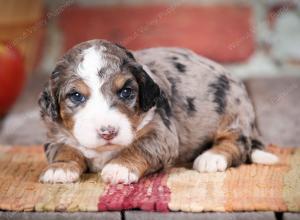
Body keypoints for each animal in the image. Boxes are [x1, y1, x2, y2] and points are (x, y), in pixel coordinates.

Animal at [38, 39, 278, 184]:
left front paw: (119, 168)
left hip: (233, 112)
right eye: (76, 96)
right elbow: (64, 150)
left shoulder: (161, 133)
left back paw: (211, 157)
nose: (108, 132)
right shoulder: (54, 136)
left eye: (126, 92)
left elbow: (139, 147)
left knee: (237, 143)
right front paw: (59, 169)